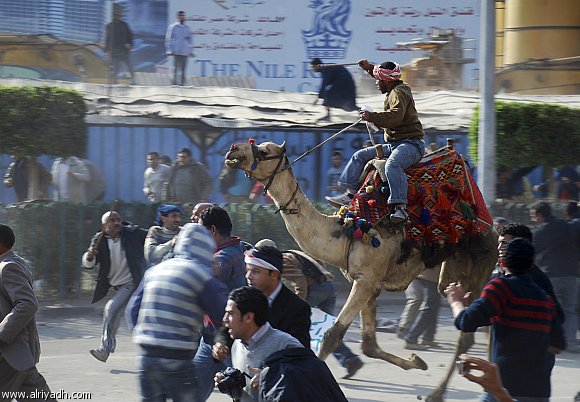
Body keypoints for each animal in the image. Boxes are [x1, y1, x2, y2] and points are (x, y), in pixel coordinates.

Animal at [225, 140, 498, 400]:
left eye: (263, 151)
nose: (233, 150)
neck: (347, 230)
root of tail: (493, 227)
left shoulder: (366, 280)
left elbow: (332, 335)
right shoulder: (368, 282)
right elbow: (368, 344)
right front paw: (416, 362)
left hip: (477, 264)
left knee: (468, 331)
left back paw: (439, 394)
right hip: (450, 271)